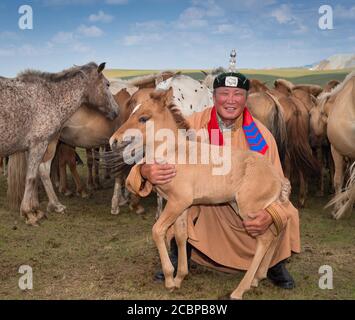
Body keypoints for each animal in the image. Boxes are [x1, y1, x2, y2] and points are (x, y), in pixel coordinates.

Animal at [3, 61, 118, 224]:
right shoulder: (39, 144)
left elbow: (36, 174)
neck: (49, 98)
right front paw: (29, 213)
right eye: (107, 84)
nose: (116, 111)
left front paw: (38, 208)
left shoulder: (32, 147)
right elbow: (31, 177)